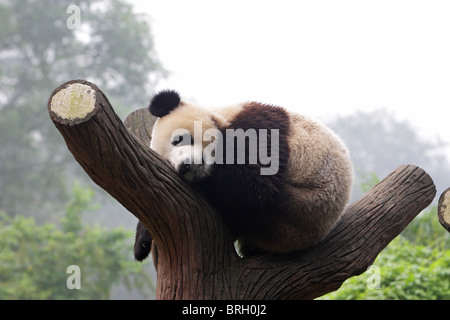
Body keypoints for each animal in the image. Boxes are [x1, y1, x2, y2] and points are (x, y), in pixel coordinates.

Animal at [133, 90, 352, 260]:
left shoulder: (257, 126)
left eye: (178, 139)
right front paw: (142, 242)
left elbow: (256, 185)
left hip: (297, 209)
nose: (184, 167)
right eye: (168, 164)